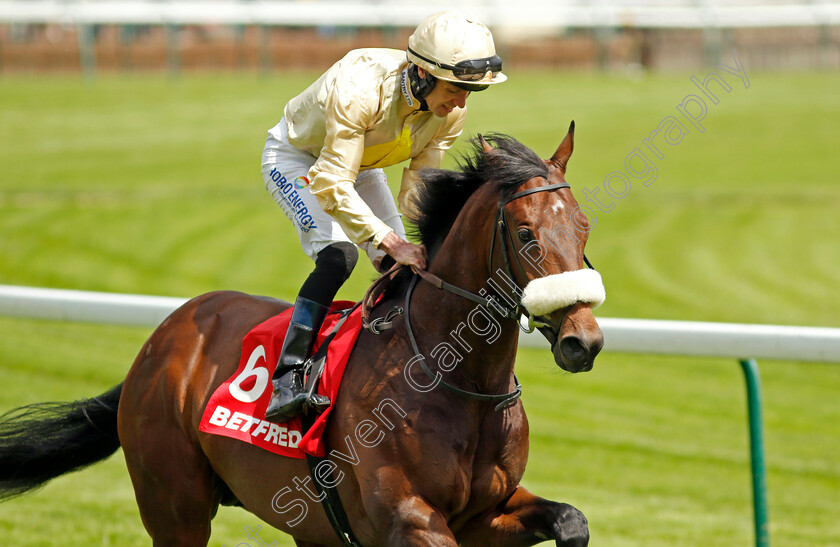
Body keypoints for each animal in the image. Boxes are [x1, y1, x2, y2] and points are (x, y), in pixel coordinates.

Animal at [0, 125, 604, 547]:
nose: (585, 341)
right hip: (174, 506)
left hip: (304, 522)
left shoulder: (486, 513)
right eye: (525, 234)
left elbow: (572, 520)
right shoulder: (410, 520)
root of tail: (158, 342)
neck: (456, 379)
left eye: (583, 227)